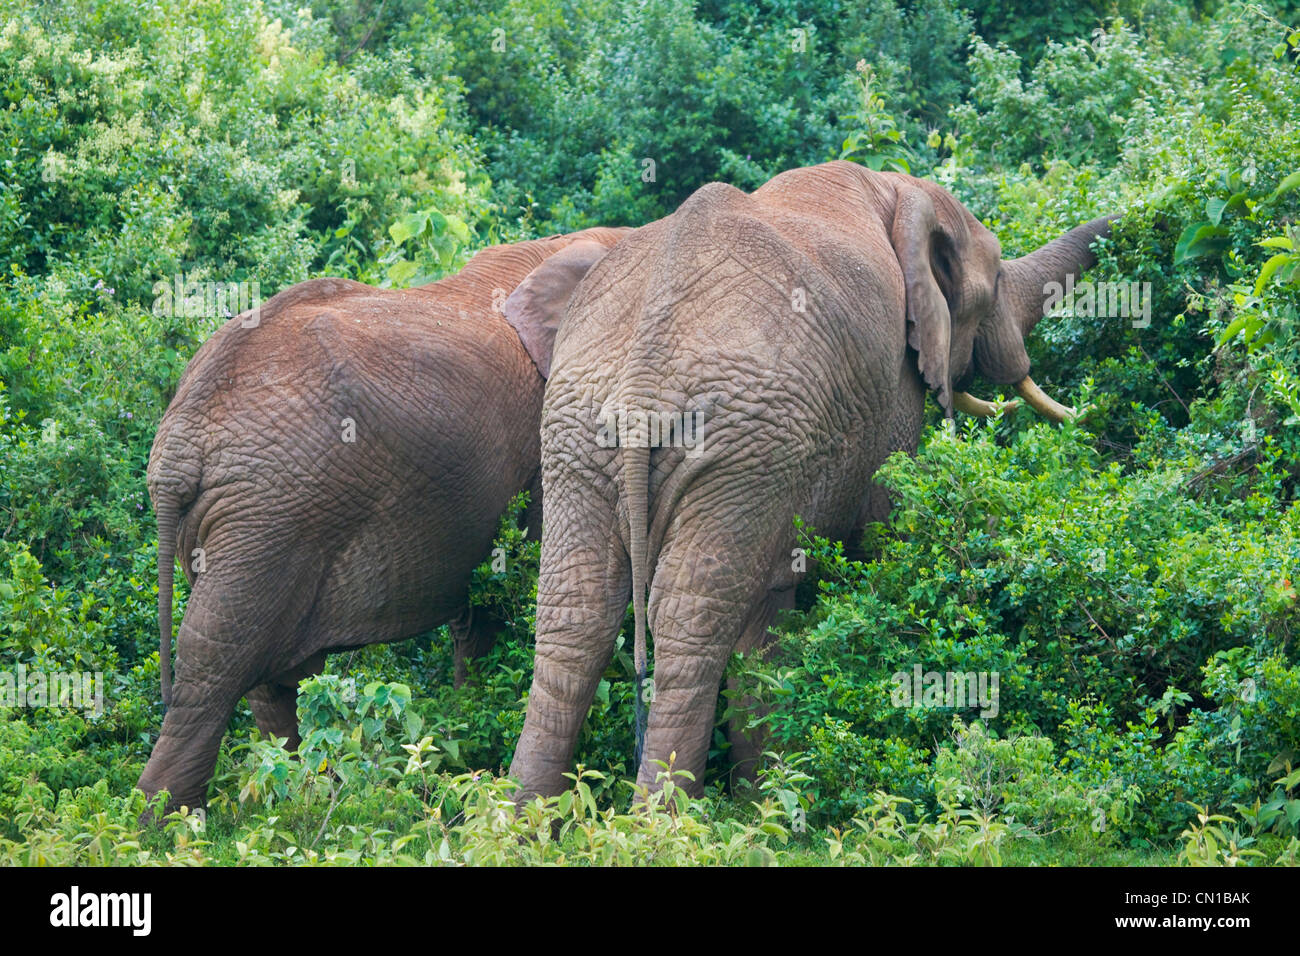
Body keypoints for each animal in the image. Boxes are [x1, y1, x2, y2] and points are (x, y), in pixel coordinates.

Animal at [138, 226, 629, 816]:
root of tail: (179, 440)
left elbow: (480, 610)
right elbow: (499, 600)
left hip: (242, 521)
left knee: (266, 676)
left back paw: (303, 791)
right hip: (267, 515)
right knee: (216, 663)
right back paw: (166, 823)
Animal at [501, 162, 1112, 801]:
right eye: (992, 285)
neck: (897, 189)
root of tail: (645, 370)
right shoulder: (891, 393)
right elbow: (887, 531)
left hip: (584, 434)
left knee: (576, 617)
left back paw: (523, 816)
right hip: (745, 446)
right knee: (691, 624)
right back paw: (662, 819)